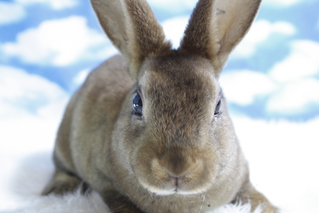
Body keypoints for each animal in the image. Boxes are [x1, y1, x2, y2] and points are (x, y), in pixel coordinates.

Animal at [42, 0, 280, 212]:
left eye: (218, 106)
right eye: (137, 103)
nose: (177, 167)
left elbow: (253, 195)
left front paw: (271, 208)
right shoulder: (107, 185)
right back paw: (59, 191)